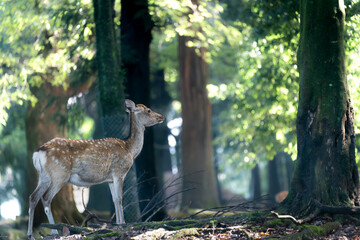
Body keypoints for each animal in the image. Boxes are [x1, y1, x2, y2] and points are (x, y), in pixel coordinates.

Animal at [26, 98, 165, 239]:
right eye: (148, 110)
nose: (162, 117)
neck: (129, 148)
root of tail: (38, 152)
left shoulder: (110, 179)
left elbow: (114, 200)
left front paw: (118, 224)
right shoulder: (119, 172)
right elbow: (119, 199)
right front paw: (123, 224)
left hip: (44, 176)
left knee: (33, 197)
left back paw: (31, 234)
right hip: (59, 174)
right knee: (46, 198)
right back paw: (54, 231)